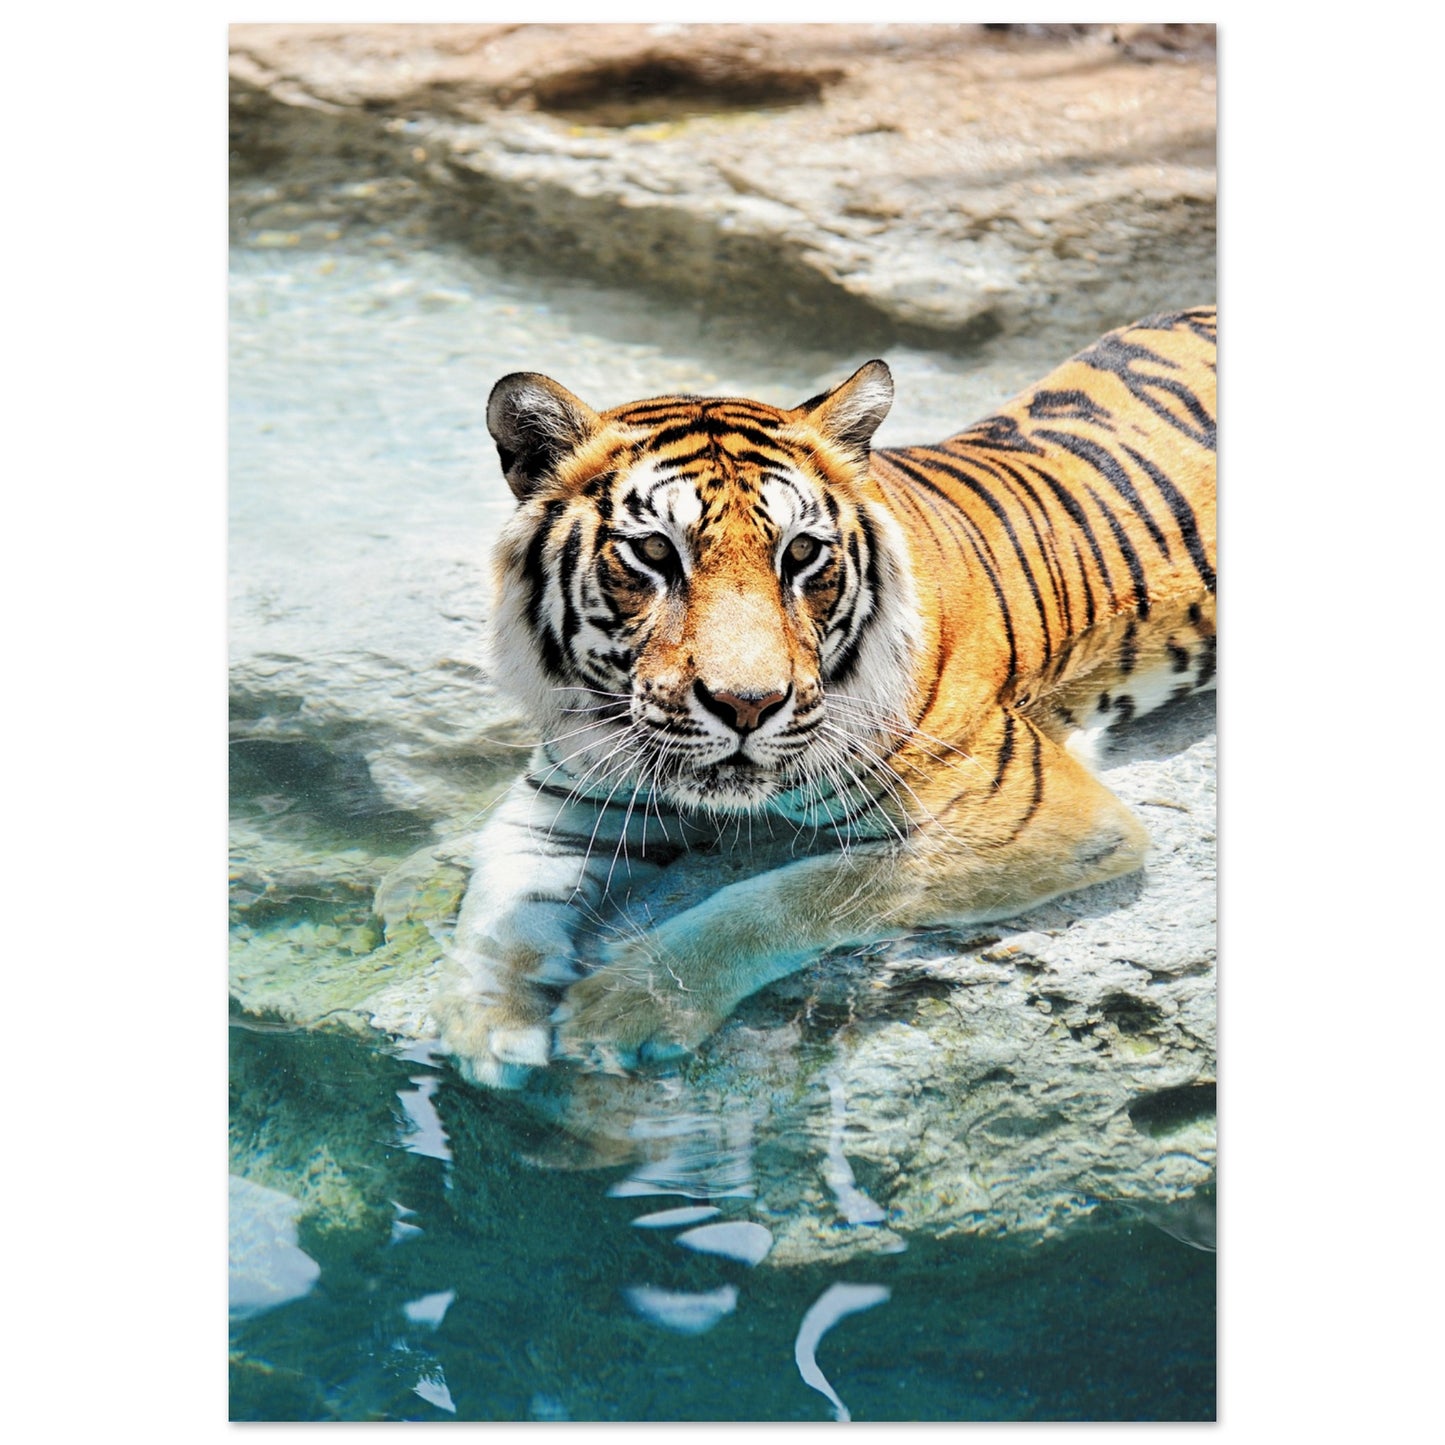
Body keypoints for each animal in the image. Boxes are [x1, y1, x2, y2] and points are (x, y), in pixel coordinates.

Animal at [434, 306, 1217, 1088]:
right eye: (655, 552)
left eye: (802, 553)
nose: (746, 704)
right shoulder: (566, 798)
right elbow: (498, 903)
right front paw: (485, 1026)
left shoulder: (1033, 816)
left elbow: (791, 894)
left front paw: (629, 1003)